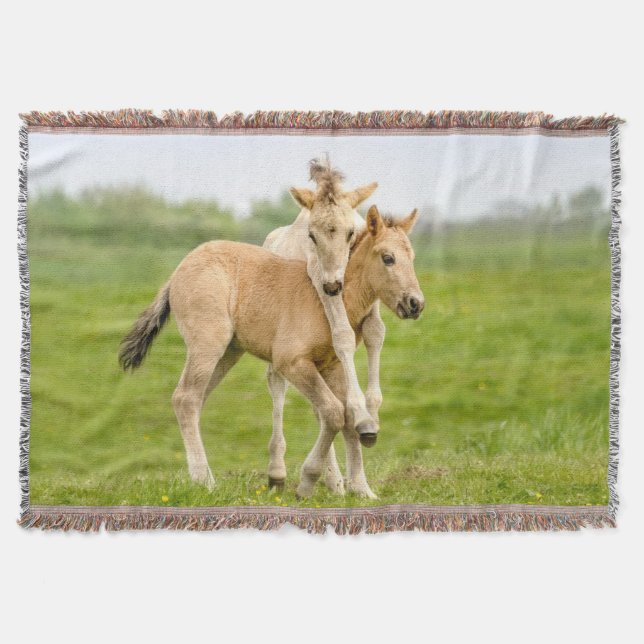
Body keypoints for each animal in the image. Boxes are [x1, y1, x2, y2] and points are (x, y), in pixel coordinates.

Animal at [119, 205, 424, 498]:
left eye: (412, 257)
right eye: (388, 258)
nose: (415, 303)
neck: (328, 300)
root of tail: (177, 272)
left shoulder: (331, 365)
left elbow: (348, 416)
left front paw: (361, 489)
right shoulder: (291, 362)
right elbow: (333, 412)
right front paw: (307, 482)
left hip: (228, 352)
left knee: (192, 399)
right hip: (208, 344)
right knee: (186, 398)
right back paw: (204, 481)